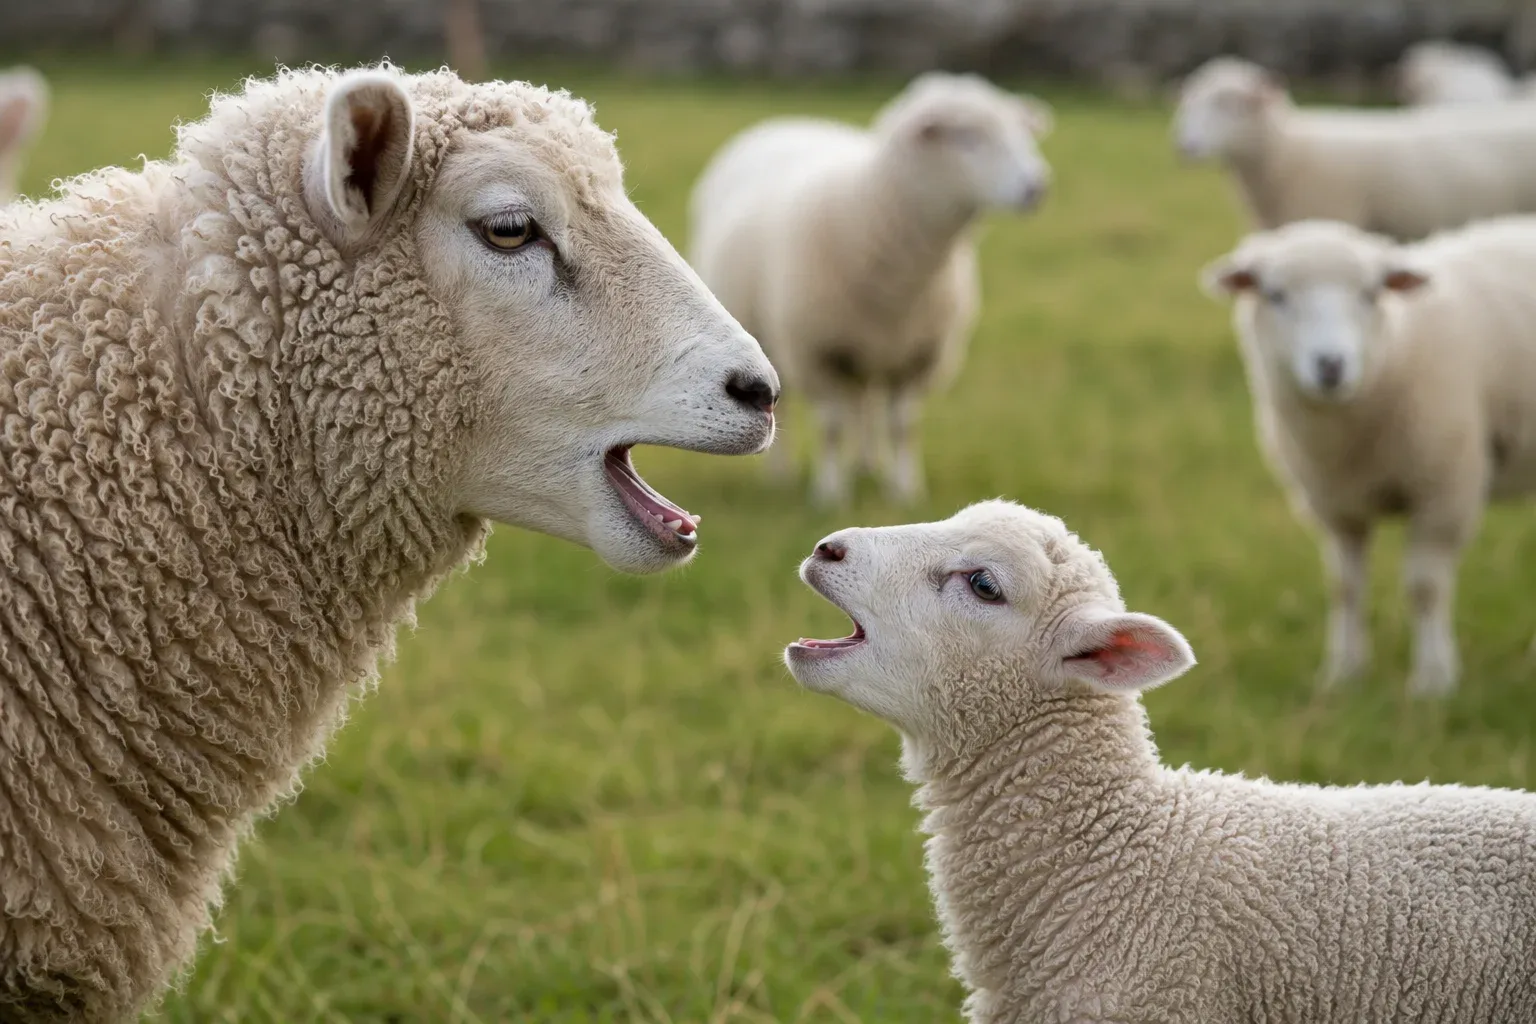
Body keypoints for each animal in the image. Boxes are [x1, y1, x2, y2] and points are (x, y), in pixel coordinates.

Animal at [688, 72, 1052, 506]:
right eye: (968, 137)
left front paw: (905, 490)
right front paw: (829, 494)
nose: (1036, 187)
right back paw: (782, 474)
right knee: (796, 408)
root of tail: (784, 121)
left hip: (875, 350)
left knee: (865, 404)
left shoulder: (916, 356)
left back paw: (866, 463)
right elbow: (831, 425)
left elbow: (902, 425)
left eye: (1022, 132)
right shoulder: (818, 352)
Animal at [1201, 218, 1536, 696]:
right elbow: (1345, 588)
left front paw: (1433, 680)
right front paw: (1344, 673)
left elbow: (1425, 588)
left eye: (1371, 293)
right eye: (1275, 294)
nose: (1330, 365)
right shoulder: (1336, 505)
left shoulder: (1444, 490)